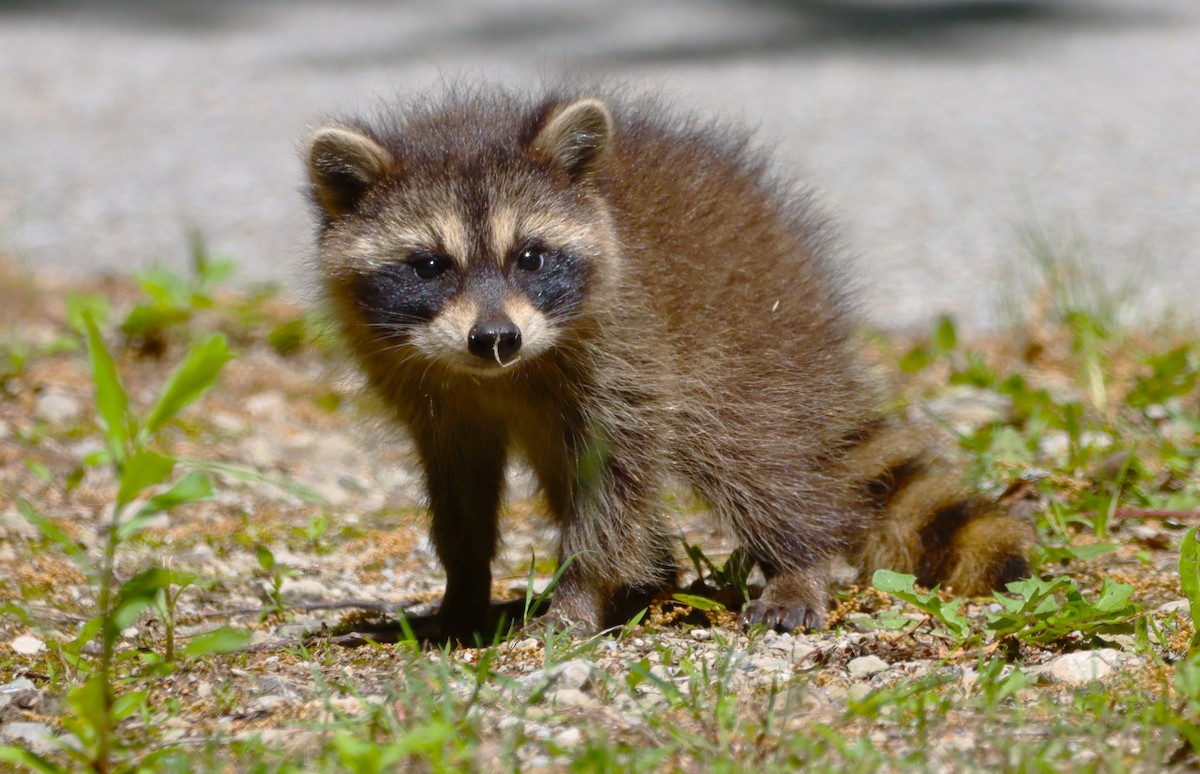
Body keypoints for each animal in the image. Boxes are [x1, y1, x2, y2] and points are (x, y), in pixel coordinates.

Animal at [303, 87, 1034, 640]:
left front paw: (579, 592)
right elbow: (459, 489)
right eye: (429, 265)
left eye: (530, 257)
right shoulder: (423, 385)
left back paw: (795, 561)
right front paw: (463, 590)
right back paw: (652, 580)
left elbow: (614, 489)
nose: (496, 338)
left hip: (744, 347)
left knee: (754, 462)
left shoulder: (628, 353)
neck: (500, 375)